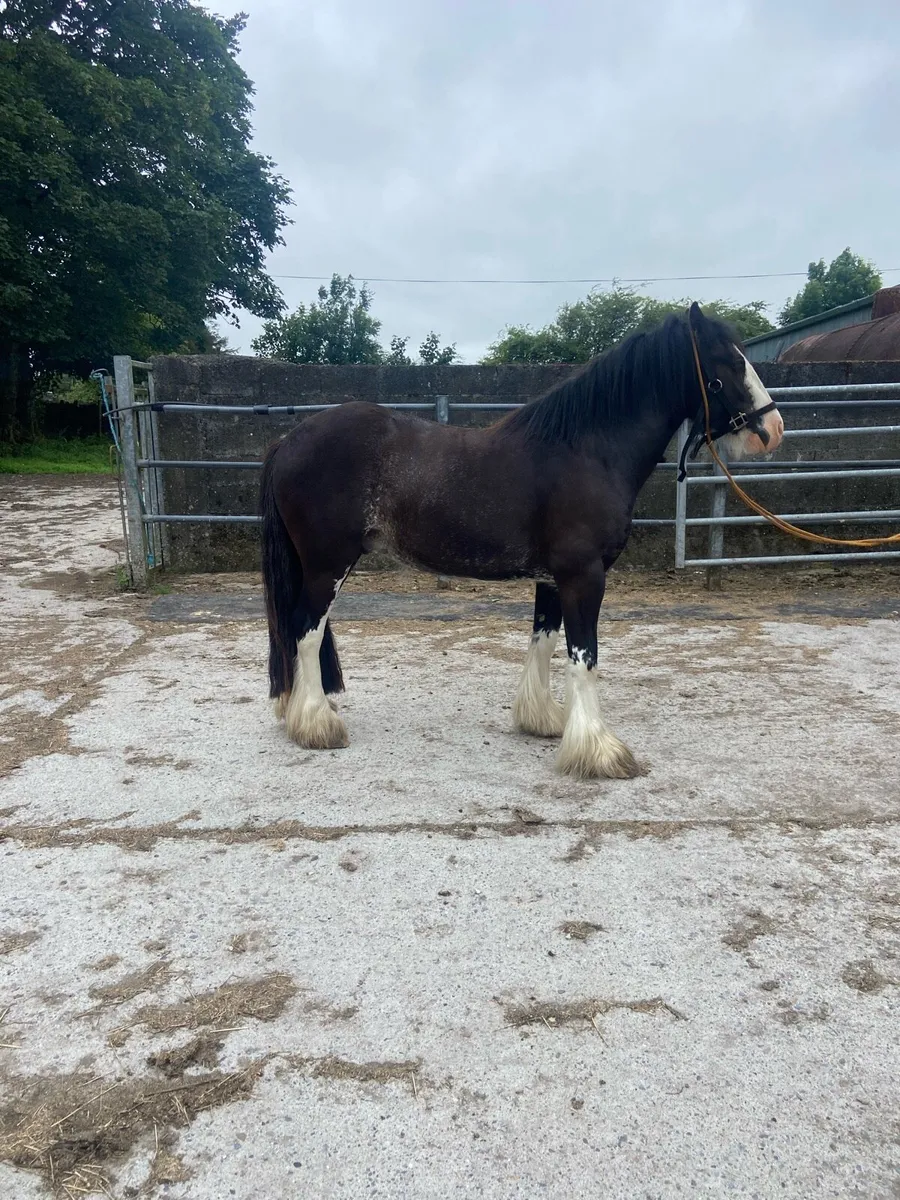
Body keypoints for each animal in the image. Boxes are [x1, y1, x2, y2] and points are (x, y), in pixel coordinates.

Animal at [259, 303, 783, 779]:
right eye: (729, 361)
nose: (773, 429)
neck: (585, 451)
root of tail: (287, 441)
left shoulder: (552, 579)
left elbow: (544, 642)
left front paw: (544, 721)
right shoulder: (583, 576)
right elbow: (584, 658)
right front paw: (599, 751)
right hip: (328, 565)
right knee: (305, 630)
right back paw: (317, 725)